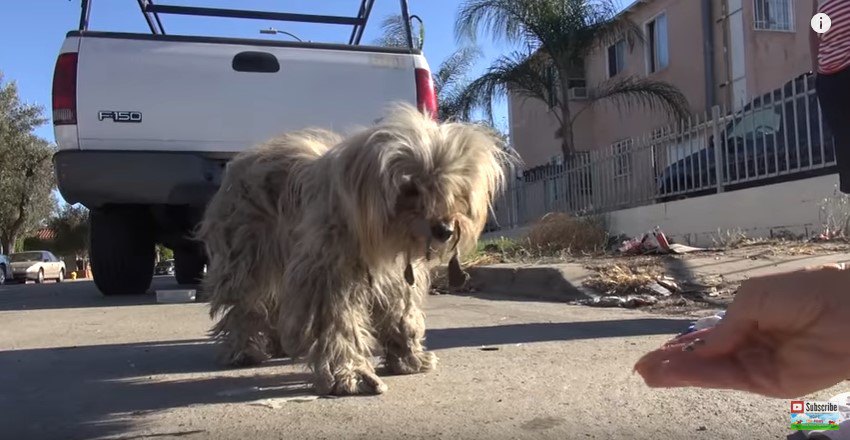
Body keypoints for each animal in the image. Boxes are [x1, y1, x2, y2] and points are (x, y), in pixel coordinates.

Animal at [199, 104, 510, 396]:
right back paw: (244, 349)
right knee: (245, 305)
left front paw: (407, 357)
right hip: (246, 259)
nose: (444, 230)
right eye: (410, 188)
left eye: (455, 187)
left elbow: (401, 313)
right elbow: (336, 325)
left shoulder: (397, 279)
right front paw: (348, 374)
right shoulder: (326, 278)